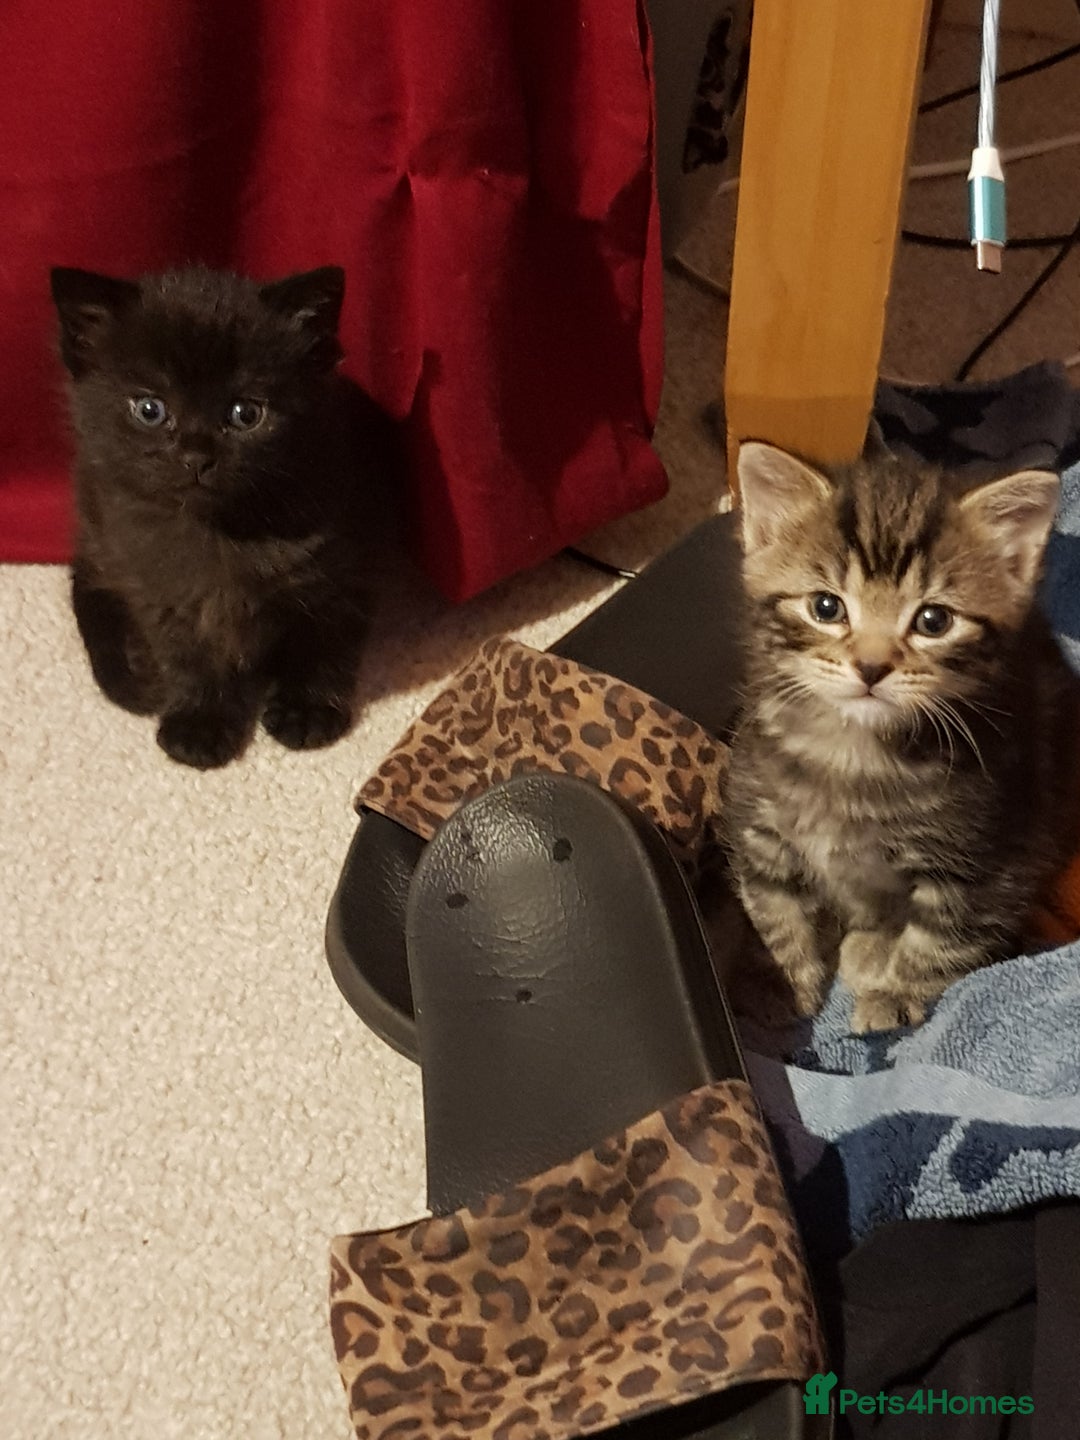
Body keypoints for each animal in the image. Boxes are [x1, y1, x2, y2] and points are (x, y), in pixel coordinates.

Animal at [51, 263, 391, 770]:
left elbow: (323, 640)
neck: (222, 533)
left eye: (246, 413)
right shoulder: (156, 585)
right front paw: (201, 721)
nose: (196, 456)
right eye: (150, 409)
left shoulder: (345, 563)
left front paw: (307, 709)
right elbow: (187, 655)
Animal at [722, 438, 1080, 1033]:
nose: (871, 667)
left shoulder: (990, 860)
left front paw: (894, 993)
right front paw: (777, 978)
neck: (853, 753)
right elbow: (770, 903)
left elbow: (943, 938)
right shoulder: (759, 819)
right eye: (825, 607)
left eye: (934, 621)